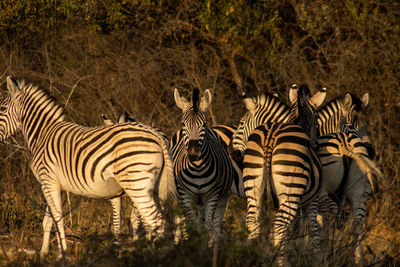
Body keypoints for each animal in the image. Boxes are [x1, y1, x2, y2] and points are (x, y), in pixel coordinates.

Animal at [0, 77, 175, 260]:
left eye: (2, 109)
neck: (43, 134)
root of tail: (156, 134)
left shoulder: (48, 180)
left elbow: (58, 217)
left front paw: (62, 254)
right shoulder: (52, 184)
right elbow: (48, 221)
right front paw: (44, 253)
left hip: (136, 184)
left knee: (156, 221)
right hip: (156, 187)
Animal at [170, 88, 236, 243]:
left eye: (204, 124)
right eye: (183, 124)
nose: (193, 153)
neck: (197, 169)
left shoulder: (211, 196)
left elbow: (208, 227)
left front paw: (206, 247)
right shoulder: (186, 196)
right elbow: (191, 226)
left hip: (220, 196)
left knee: (215, 224)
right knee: (182, 221)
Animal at [242, 85, 326, 266]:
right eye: (316, 124)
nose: (316, 146)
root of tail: (270, 138)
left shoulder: (277, 202)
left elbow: (293, 231)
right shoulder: (311, 200)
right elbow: (312, 229)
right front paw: (315, 257)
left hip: (253, 186)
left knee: (253, 222)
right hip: (291, 191)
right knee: (279, 226)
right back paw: (281, 262)